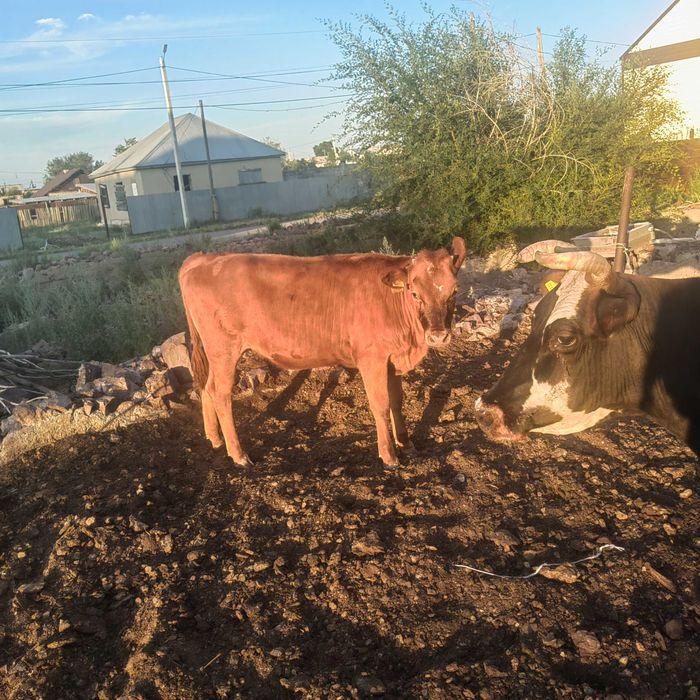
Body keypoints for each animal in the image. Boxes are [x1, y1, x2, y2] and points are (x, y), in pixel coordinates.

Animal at [179, 238, 467, 467]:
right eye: (415, 293)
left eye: (454, 291)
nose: (438, 335)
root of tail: (205, 258)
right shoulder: (371, 358)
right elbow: (381, 405)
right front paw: (389, 456)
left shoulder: (393, 360)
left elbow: (397, 402)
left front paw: (407, 445)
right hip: (223, 349)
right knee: (220, 393)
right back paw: (238, 455)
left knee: (206, 387)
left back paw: (215, 439)